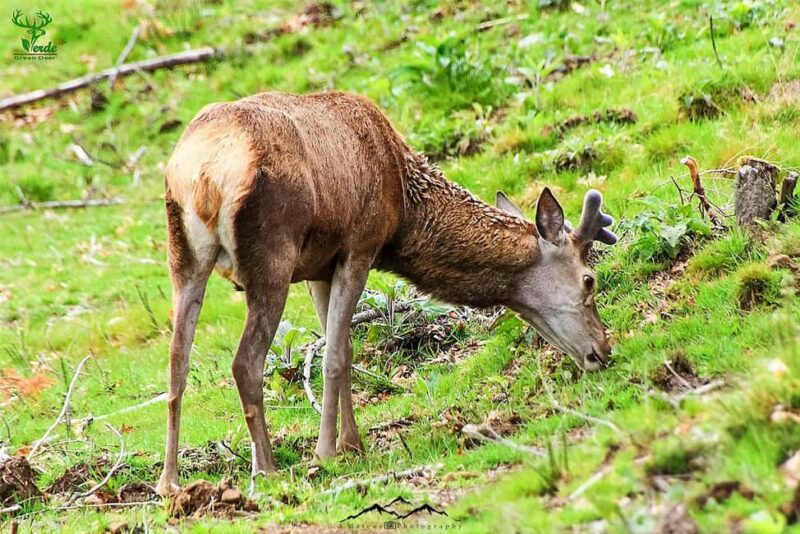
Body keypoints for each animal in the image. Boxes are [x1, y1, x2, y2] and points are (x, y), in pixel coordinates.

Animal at [156, 91, 617, 496]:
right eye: (588, 279)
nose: (603, 349)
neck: (405, 211)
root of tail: (203, 172)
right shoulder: (360, 245)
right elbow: (334, 354)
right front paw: (327, 453)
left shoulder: (319, 267)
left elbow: (340, 347)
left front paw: (353, 444)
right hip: (272, 254)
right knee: (245, 362)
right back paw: (265, 470)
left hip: (183, 257)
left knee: (176, 364)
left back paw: (170, 481)